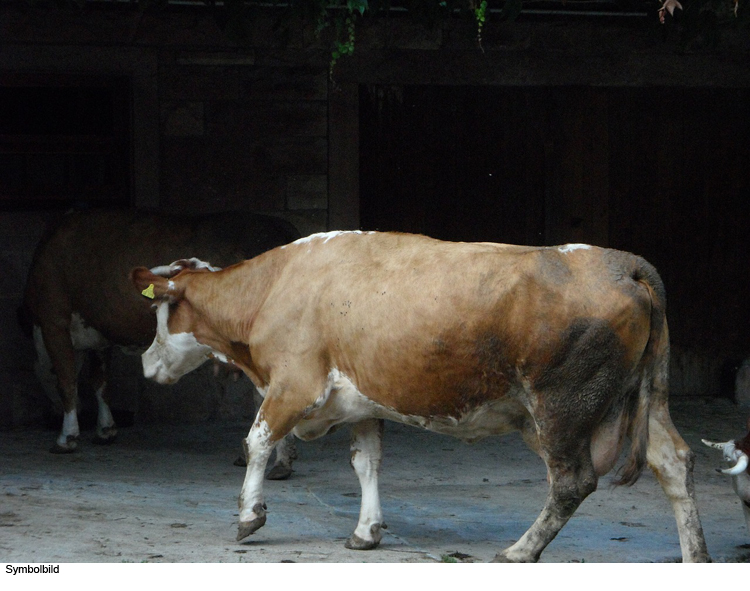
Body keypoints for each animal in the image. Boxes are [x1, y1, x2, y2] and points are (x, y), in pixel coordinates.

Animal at [23, 208, 300, 480]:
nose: (50, 417)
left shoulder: (53, 319)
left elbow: (66, 380)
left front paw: (66, 437)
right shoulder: (99, 333)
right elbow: (100, 381)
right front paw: (105, 429)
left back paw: (279, 463)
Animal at [129, 231, 712, 564]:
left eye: (160, 313)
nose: (144, 363)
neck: (273, 289)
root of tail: (620, 262)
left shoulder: (293, 385)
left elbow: (256, 442)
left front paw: (249, 517)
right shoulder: (362, 401)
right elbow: (366, 462)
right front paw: (366, 532)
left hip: (561, 407)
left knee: (572, 482)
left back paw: (520, 551)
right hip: (643, 399)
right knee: (674, 462)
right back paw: (695, 557)